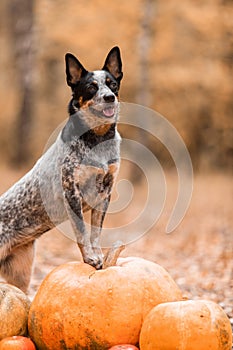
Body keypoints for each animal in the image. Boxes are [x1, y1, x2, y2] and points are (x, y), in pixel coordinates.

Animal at [0, 46, 123, 292]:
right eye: (91, 87)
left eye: (112, 83)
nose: (109, 97)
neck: (97, 139)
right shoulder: (71, 191)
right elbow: (82, 232)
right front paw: (89, 258)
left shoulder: (105, 192)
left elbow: (95, 232)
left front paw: (98, 257)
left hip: (21, 273)